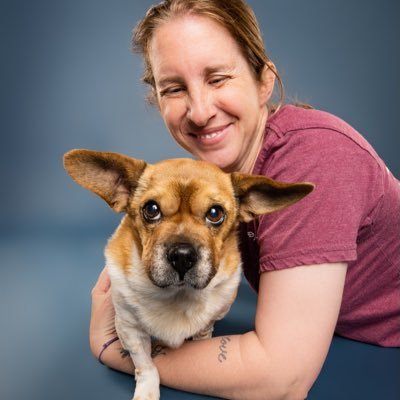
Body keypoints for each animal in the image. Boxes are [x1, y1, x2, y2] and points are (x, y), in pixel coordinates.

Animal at [63, 148, 312, 398]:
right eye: (151, 209)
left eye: (215, 213)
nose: (182, 255)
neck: (176, 296)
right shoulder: (130, 329)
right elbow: (146, 365)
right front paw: (147, 392)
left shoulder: (207, 324)